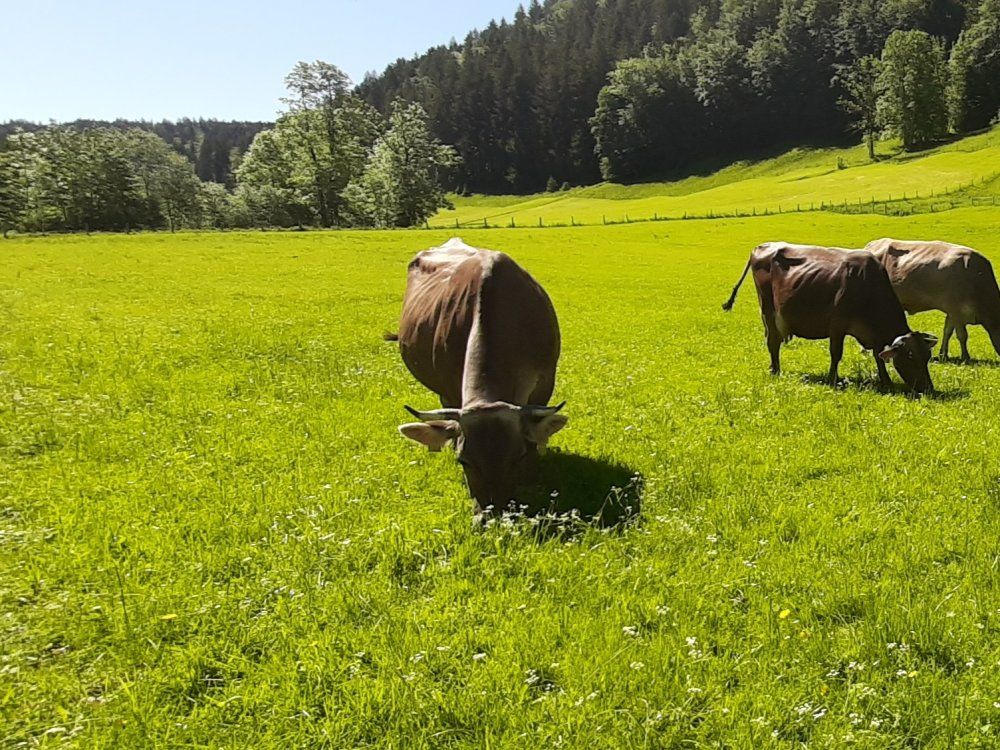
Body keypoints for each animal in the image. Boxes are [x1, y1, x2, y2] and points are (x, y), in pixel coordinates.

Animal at [723, 242, 937, 393]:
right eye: (910, 357)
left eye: (927, 357)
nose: (928, 389)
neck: (868, 287)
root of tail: (761, 247)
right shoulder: (837, 325)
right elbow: (836, 354)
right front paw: (832, 378)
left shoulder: (874, 334)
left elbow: (878, 356)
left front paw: (886, 382)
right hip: (768, 311)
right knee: (773, 342)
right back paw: (775, 370)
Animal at [865, 238, 1000, 362]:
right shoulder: (956, 310)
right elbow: (962, 335)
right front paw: (966, 357)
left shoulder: (951, 312)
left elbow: (947, 332)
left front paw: (943, 355)